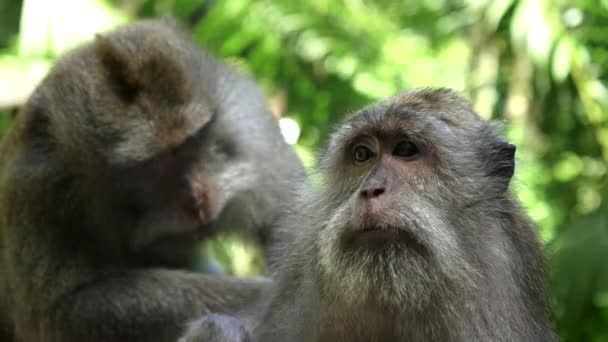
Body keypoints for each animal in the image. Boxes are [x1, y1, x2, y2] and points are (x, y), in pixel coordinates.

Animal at [0, 19, 304, 342]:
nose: (198, 199)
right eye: (152, 164)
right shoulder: (39, 192)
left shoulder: (247, 122)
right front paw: (261, 295)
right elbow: (61, 312)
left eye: (192, 140)